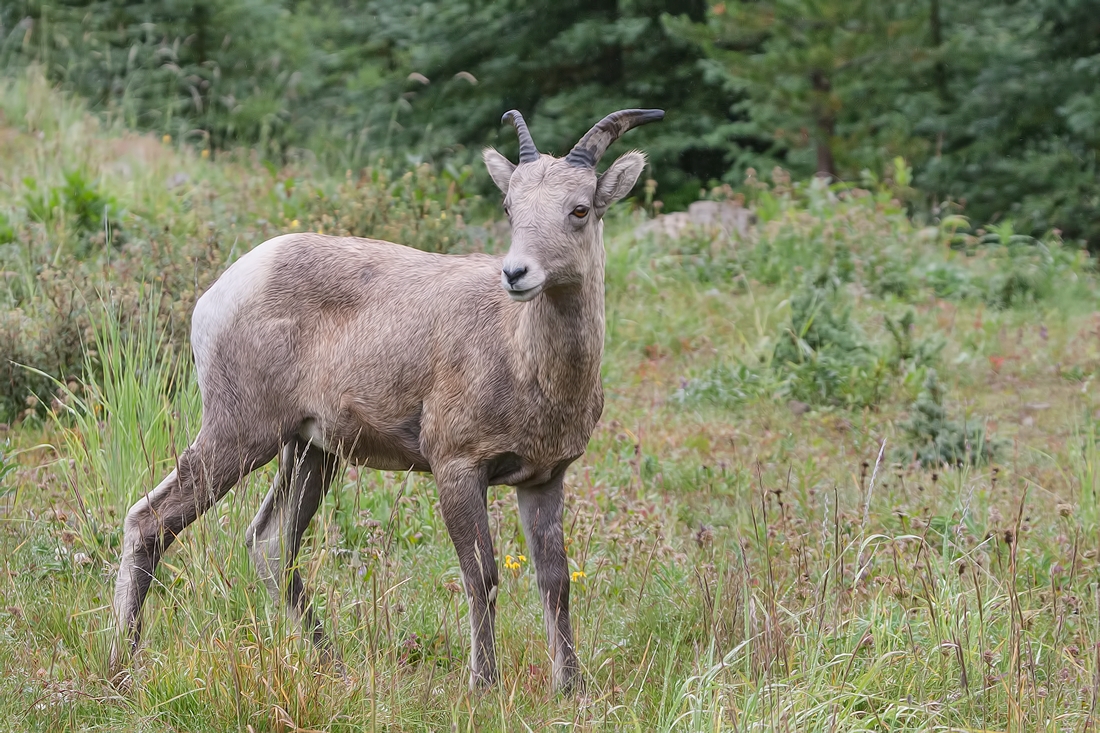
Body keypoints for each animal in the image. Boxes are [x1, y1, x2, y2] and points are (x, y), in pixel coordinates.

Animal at [111, 105, 660, 686]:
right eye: (510, 208)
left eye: (579, 209)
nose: (516, 274)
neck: (527, 363)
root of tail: (222, 290)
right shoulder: (457, 468)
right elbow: (482, 577)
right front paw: (483, 685)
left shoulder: (545, 479)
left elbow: (556, 583)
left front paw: (571, 688)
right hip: (240, 434)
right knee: (149, 522)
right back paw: (121, 665)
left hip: (310, 452)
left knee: (271, 544)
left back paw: (331, 664)